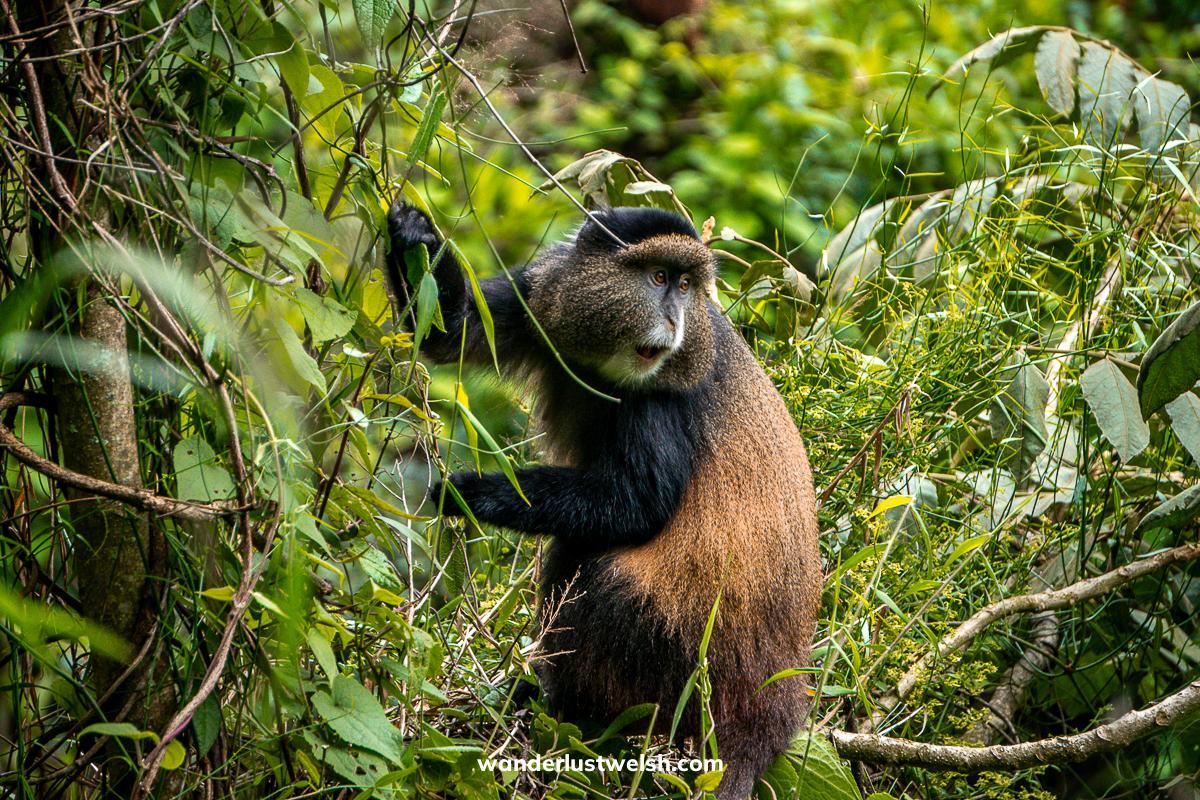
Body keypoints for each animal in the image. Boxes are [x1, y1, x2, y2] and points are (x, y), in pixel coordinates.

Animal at [385, 202, 821, 800]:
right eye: (659, 278)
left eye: (686, 285)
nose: (674, 321)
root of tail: (763, 724)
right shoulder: (541, 297)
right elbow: (453, 329)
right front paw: (413, 234)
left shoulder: (661, 400)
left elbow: (635, 505)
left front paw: (475, 492)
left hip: (673, 657)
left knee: (592, 569)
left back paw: (569, 717)